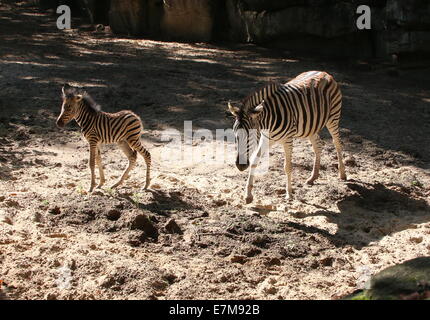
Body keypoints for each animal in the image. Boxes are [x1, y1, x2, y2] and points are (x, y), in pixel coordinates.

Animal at [228, 71, 346, 204]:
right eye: (235, 135)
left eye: (250, 136)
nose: (240, 166)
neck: (267, 122)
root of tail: (323, 72)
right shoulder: (266, 139)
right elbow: (254, 162)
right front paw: (248, 195)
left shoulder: (288, 140)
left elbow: (287, 167)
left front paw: (289, 194)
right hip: (310, 126)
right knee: (318, 145)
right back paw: (313, 177)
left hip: (333, 117)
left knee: (337, 143)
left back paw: (342, 174)